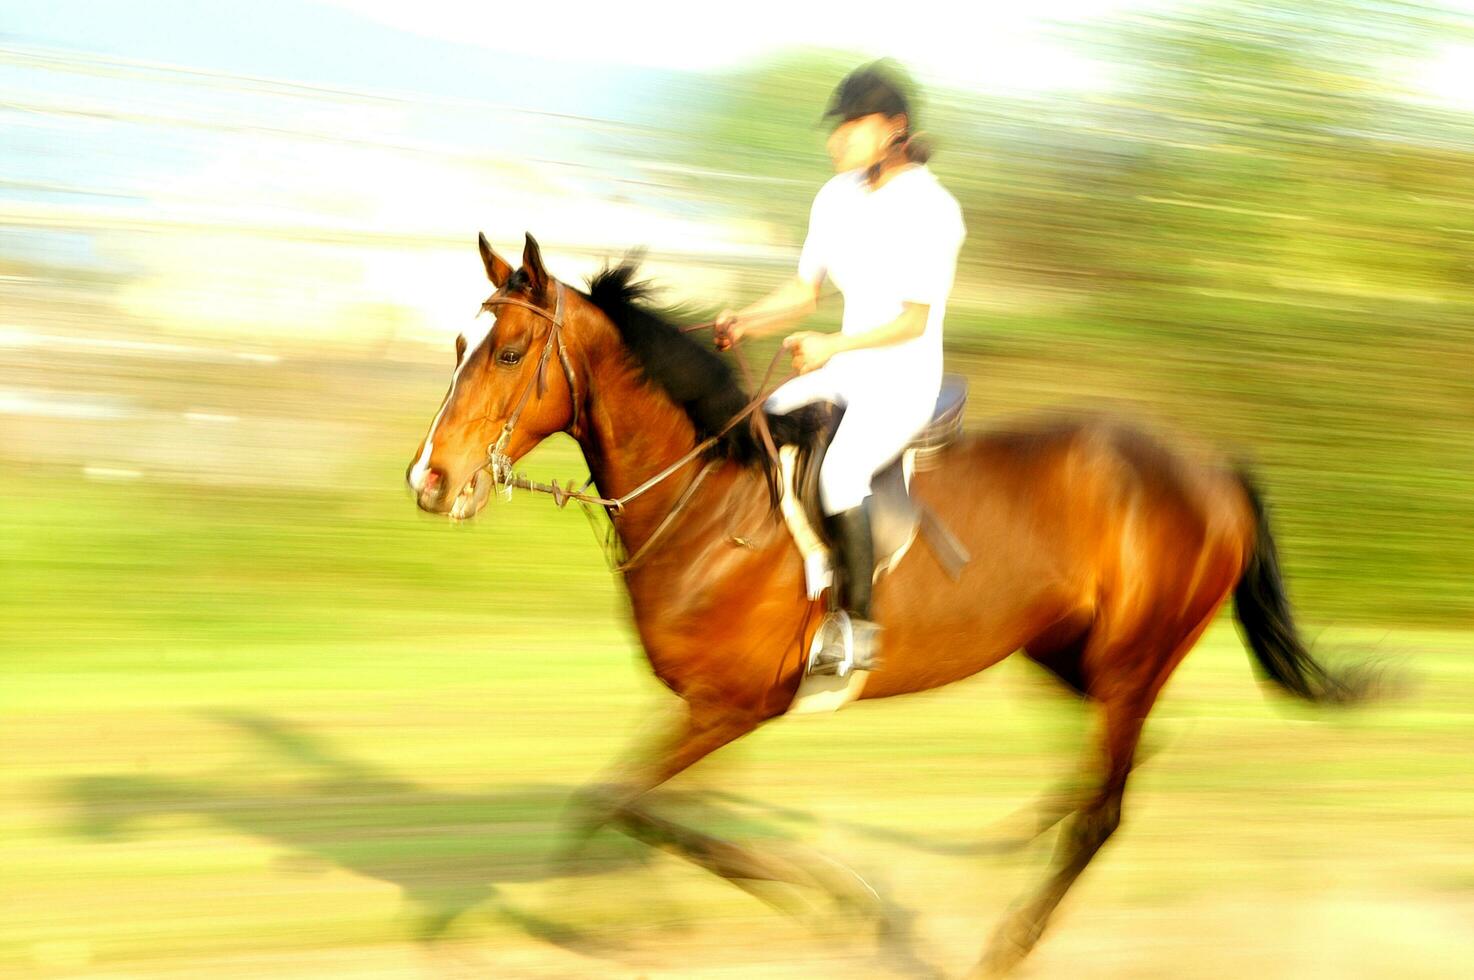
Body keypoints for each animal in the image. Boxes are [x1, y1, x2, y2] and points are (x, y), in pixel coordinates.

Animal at [406, 232, 1367, 972]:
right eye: (459, 345)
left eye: (508, 353)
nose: (430, 481)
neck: (710, 502)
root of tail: (1211, 468)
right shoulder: (709, 714)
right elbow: (661, 818)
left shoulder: (730, 707)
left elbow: (621, 804)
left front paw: (838, 901)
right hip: (1071, 654)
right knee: (1115, 762)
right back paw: (1008, 843)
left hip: (1132, 659)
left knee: (1105, 810)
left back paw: (1003, 946)